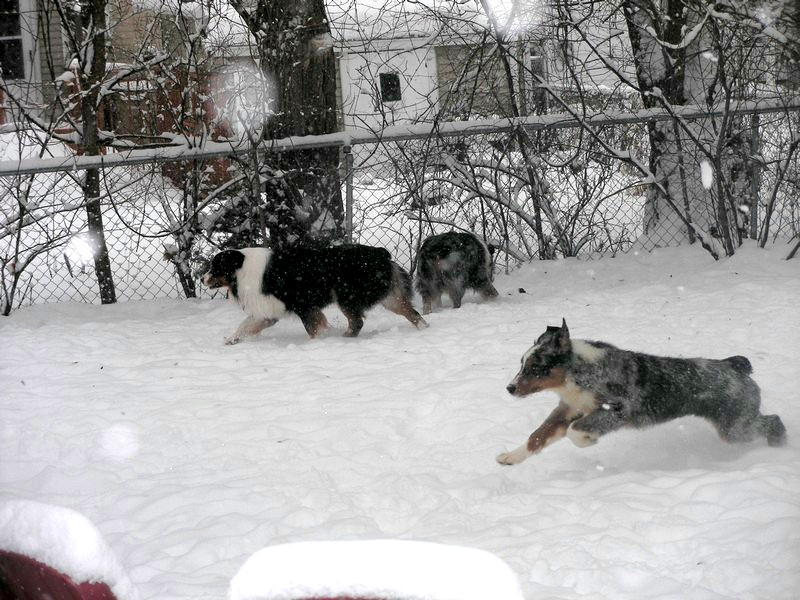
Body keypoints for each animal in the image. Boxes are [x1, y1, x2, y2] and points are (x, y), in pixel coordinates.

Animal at [203, 244, 428, 344]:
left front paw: (319, 341)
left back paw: (344, 338)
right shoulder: (268, 311)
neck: (240, 268)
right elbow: (244, 326)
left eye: (215, 267)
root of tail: (381, 252)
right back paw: (424, 329)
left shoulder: (304, 305)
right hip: (390, 298)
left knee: (356, 322)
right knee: (413, 314)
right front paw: (231, 340)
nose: (202, 278)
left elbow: (313, 328)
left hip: (345, 295)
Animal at [496, 318, 784, 464]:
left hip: (734, 427)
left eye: (535, 367)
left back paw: (779, 448)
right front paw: (511, 456)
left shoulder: (617, 410)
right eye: (522, 363)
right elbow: (538, 435)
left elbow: (574, 432)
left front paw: (589, 441)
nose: (510, 388)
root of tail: (735, 366)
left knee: (773, 421)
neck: (575, 375)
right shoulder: (568, 408)